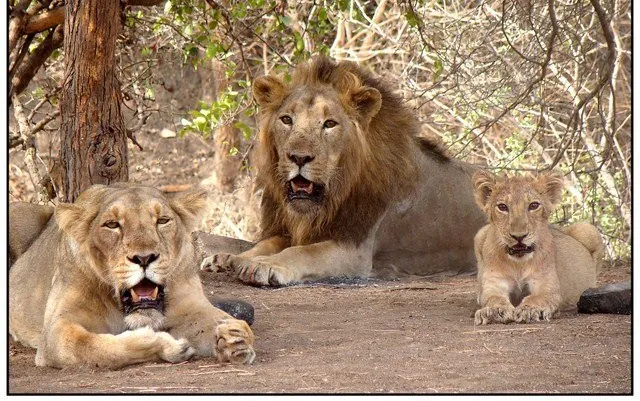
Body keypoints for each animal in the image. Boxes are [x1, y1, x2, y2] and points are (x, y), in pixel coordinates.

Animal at [9, 183, 255, 369]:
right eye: (112, 225)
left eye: (162, 220)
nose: (144, 258)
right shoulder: (55, 329)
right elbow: (94, 348)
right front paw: (165, 345)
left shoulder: (190, 306)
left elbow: (225, 321)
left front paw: (235, 337)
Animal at [201, 56, 486, 286]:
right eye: (286, 120)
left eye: (329, 124)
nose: (299, 157)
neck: (332, 196)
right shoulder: (290, 229)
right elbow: (264, 243)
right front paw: (228, 258)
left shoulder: (355, 250)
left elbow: (303, 252)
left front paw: (263, 265)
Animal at [472, 170, 602, 325]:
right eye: (502, 207)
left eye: (533, 205)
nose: (519, 236)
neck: (519, 264)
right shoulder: (494, 284)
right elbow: (493, 298)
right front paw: (494, 311)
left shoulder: (547, 287)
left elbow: (537, 298)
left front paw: (531, 310)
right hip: (480, 234)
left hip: (588, 229)